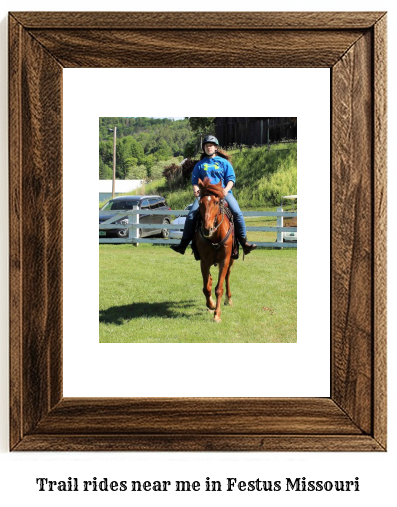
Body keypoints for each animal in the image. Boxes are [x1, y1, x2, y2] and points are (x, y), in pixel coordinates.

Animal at [196, 178, 234, 322]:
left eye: (216, 202)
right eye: (200, 203)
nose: (207, 229)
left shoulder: (224, 260)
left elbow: (219, 288)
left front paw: (217, 314)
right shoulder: (204, 262)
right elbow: (206, 287)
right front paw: (211, 304)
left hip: (231, 260)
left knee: (227, 276)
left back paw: (229, 300)